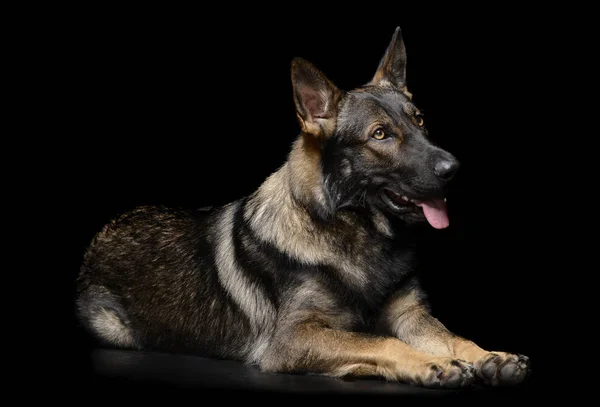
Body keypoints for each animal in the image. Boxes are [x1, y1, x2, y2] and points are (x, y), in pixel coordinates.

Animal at [76, 27, 528, 390]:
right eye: (380, 135)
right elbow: (381, 340)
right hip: (115, 329)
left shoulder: (411, 316)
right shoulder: (293, 338)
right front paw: (431, 363)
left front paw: (490, 355)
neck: (357, 235)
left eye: (420, 122)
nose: (454, 169)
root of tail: (106, 230)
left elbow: (451, 337)